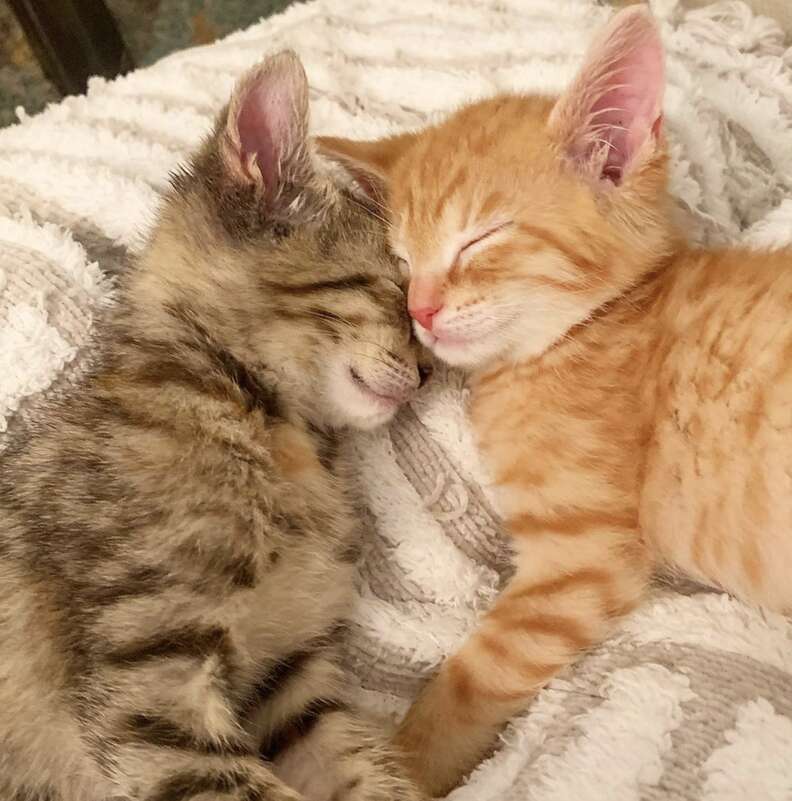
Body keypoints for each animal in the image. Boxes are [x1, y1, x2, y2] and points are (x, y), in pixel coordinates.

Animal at [318, 4, 792, 792]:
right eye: (403, 261)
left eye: (478, 239)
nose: (419, 311)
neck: (591, 329)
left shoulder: (580, 561)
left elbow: (469, 680)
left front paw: (403, 769)